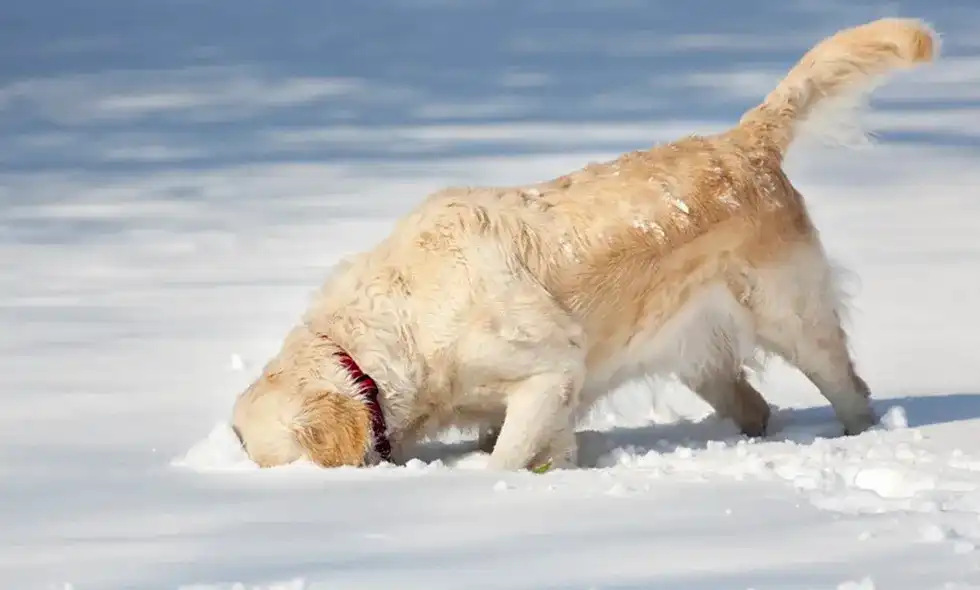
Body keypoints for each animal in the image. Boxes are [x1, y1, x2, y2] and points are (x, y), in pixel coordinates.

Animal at [230, 17, 936, 472]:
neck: (390, 334)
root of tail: (744, 141)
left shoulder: (549, 370)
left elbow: (506, 457)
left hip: (793, 316)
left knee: (850, 386)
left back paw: (858, 438)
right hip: (699, 353)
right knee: (755, 405)